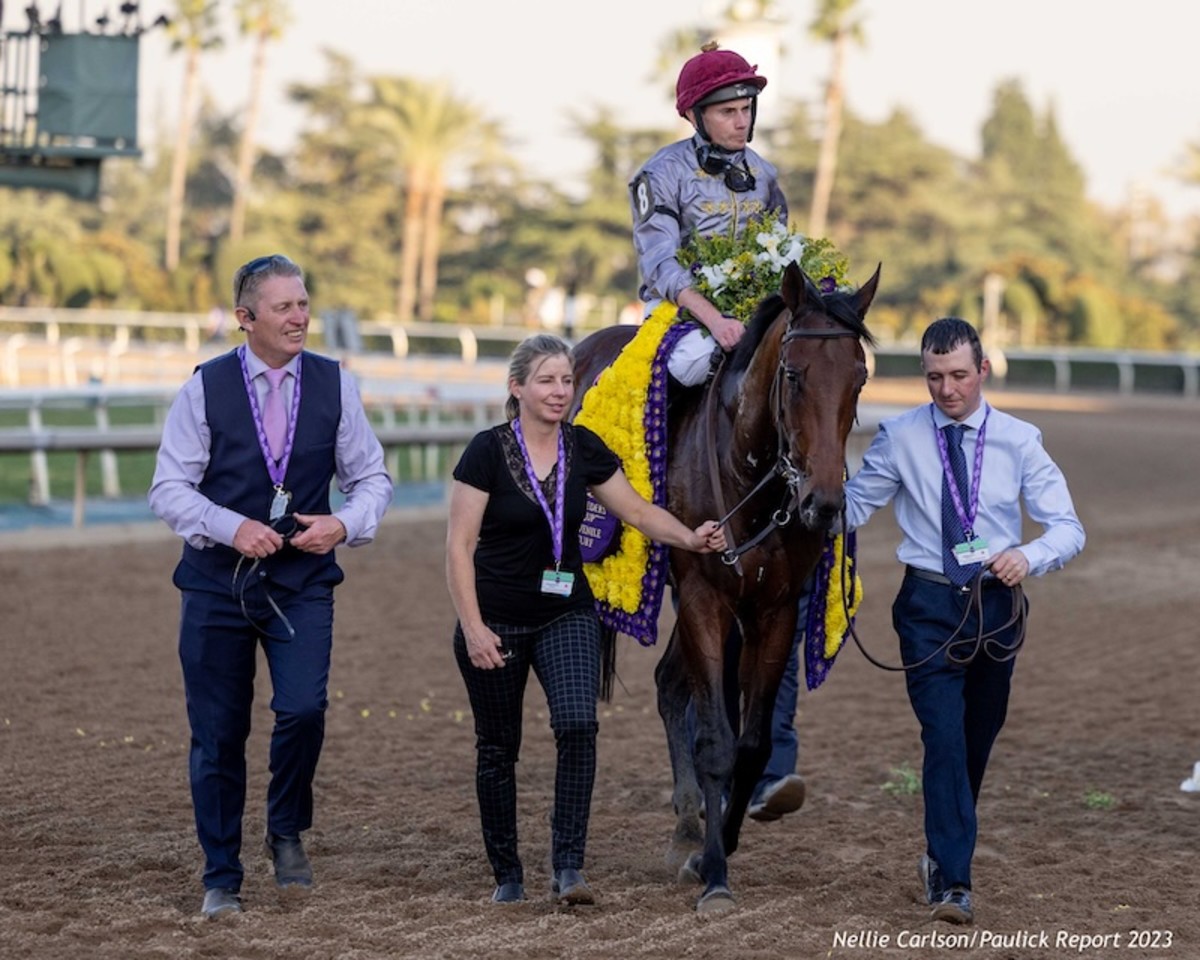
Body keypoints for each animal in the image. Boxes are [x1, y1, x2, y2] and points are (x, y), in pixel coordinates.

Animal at [571, 259, 883, 912]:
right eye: (793, 374)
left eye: (860, 379)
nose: (823, 503)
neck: (749, 474)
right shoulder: (703, 597)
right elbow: (715, 740)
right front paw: (715, 874)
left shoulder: (774, 607)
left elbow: (752, 742)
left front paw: (715, 846)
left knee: (670, 683)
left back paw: (688, 827)